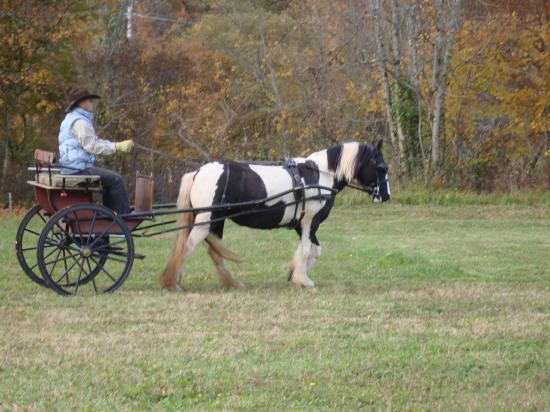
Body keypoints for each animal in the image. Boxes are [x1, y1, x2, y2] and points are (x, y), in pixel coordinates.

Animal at [160, 139, 392, 290]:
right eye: (381, 167)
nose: (387, 195)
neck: (319, 175)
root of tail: (197, 173)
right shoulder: (310, 222)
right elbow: (307, 249)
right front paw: (303, 279)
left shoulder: (303, 225)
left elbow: (313, 250)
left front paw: (294, 272)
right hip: (205, 221)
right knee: (188, 246)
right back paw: (173, 282)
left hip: (216, 222)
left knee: (214, 252)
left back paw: (232, 283)